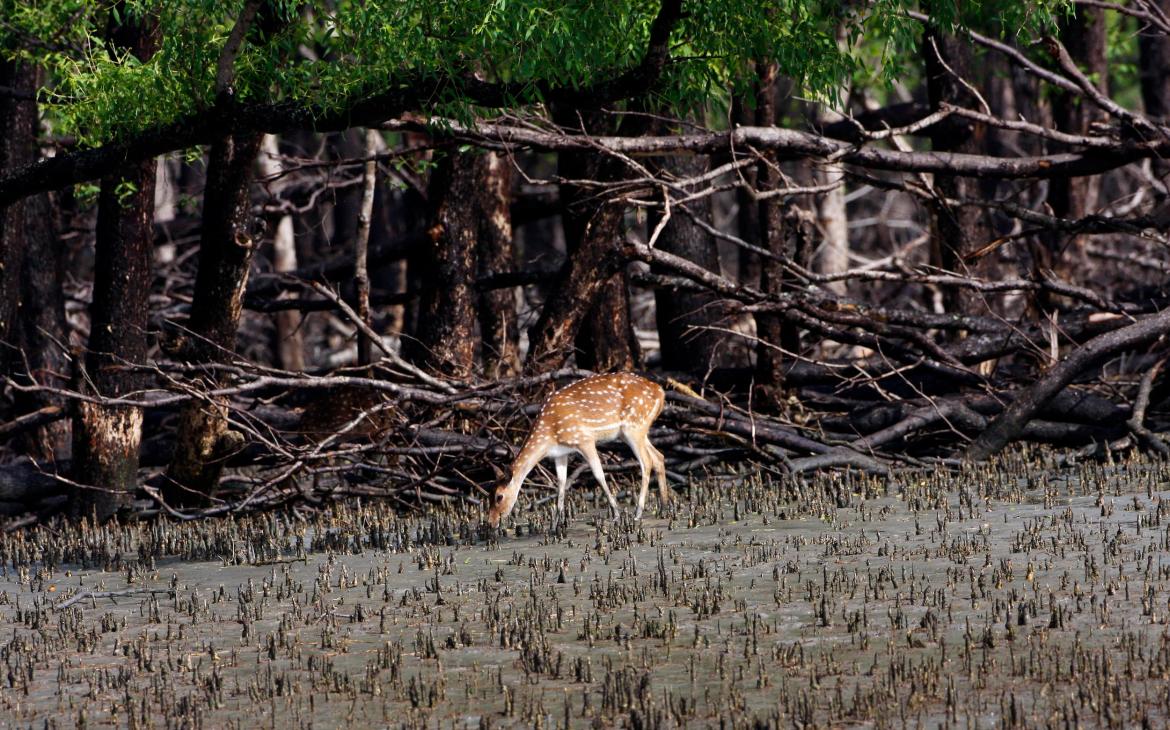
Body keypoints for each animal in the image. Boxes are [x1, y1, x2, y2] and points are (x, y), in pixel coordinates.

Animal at [486, 372, 669, 527]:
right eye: (488, 494)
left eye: (499, 497)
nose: (490, 523)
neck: (549, 434)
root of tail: (660, 392)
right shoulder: (560, 453)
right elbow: (561, 482)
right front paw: (556, 523)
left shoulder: (584, 439)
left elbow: (598, 474)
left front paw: (616, 514)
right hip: (634, 431)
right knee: (659, 456)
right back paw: (664, 507)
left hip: (634, 427)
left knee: (647, 461)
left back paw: (638, 512)